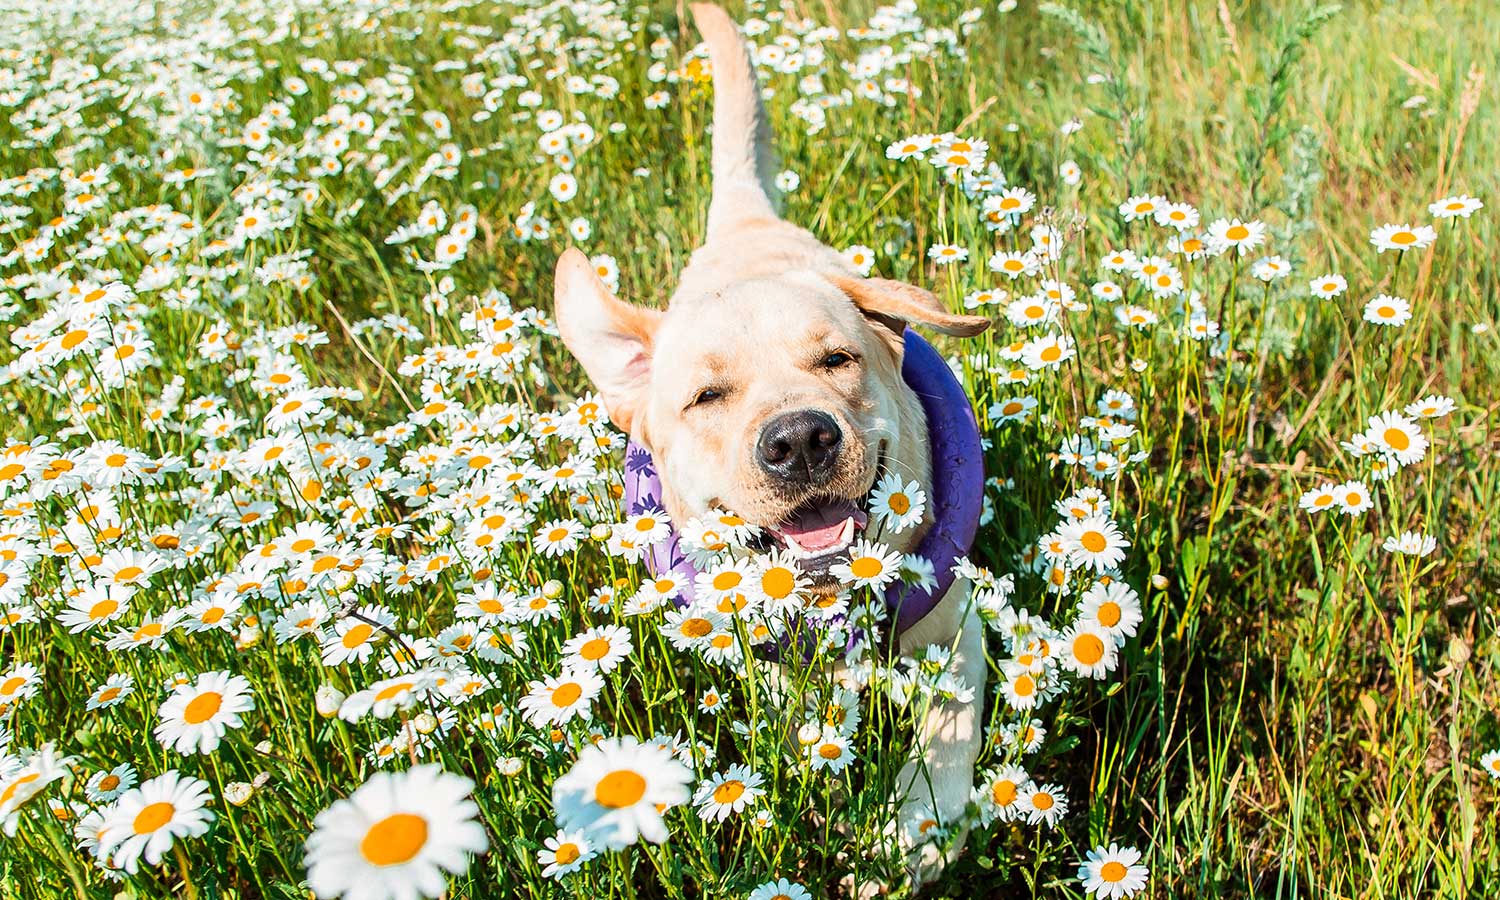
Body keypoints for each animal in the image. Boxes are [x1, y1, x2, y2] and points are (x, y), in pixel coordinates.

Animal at [552, 1, 996, 888]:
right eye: (706, 398)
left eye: (837, 359)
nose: (799, 440)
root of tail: (744, 223)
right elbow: (799, 723)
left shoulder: (963, 626)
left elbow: (949, 728)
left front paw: (912, 832)